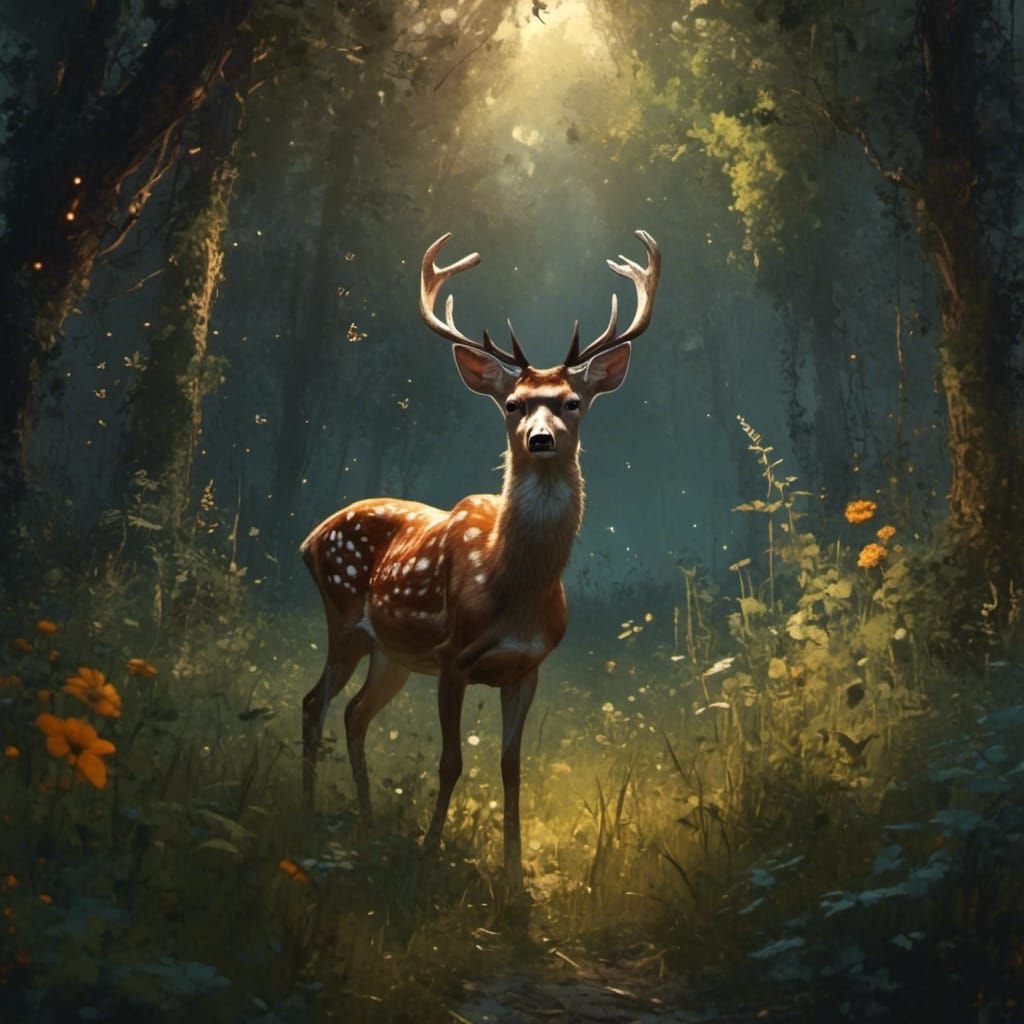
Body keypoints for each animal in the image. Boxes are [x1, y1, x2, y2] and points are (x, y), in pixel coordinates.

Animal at [300, 229, 660, 893]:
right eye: (513, 403)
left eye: (572, 402)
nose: (540, 439)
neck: (511, 588)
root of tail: (309, 538)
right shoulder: (451, 657)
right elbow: (450, 762)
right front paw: (428, 858)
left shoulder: (528, 667)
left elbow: (511, 768)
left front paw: (515, 878)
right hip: (344, 620)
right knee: (317, 704)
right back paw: (311, 814)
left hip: (392, 653)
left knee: (356, 715)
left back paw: (366, 825)